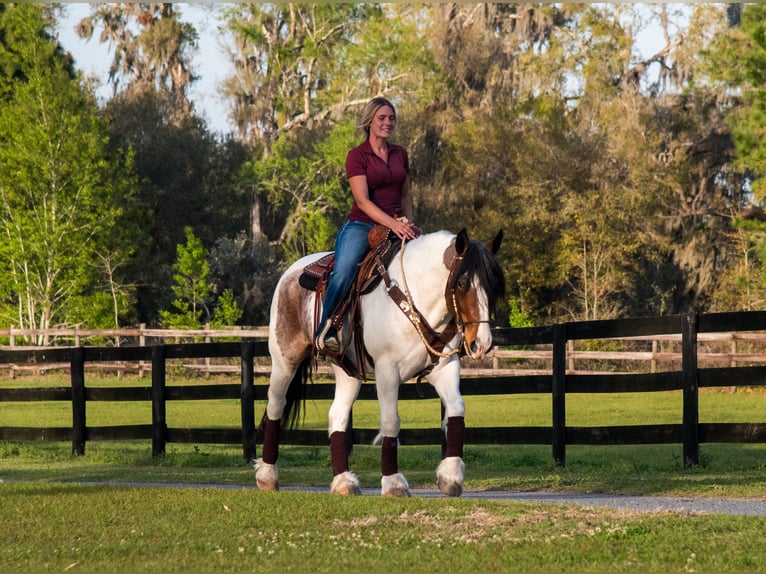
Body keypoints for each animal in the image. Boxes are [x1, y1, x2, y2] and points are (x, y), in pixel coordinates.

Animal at [258, 230, 508, 500]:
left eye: (493, 285)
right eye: (461, 283)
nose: (481, 343)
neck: (412, 298)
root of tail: (291, 272)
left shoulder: (444, 368)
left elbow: (456, 410)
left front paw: (450, 476)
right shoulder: (387, 369)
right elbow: (391, 421)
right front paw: (393, 483)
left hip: (347, 372)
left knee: (337, 415)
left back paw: (343, 482)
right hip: (284, 360)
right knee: (275, 406)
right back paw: (267, 476)